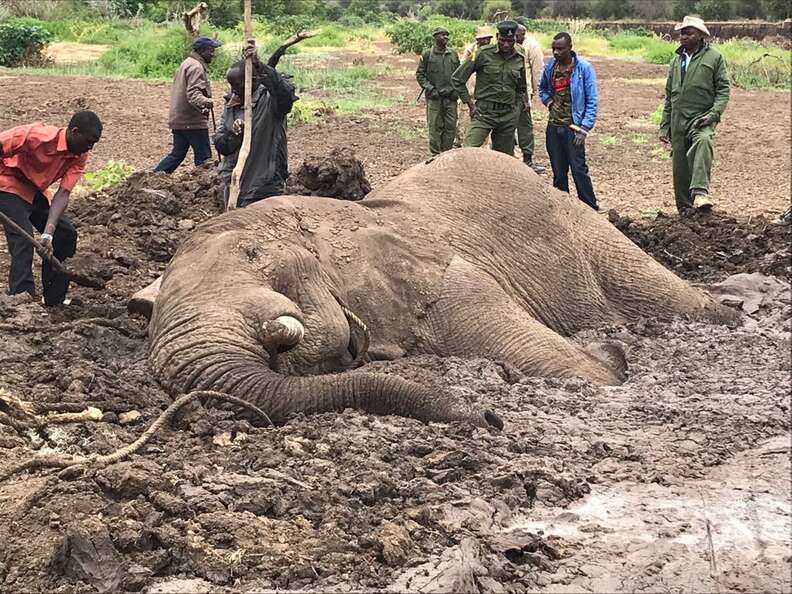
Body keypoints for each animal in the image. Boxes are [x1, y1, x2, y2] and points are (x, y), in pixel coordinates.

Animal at [144, 148, 736, 426]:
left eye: (258, 260)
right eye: (145, 313)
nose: (490, 416)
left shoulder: (451, 283)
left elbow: (564, 366)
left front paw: (611, 363)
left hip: (586, 226)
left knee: (673, 297)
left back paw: (732, 312)